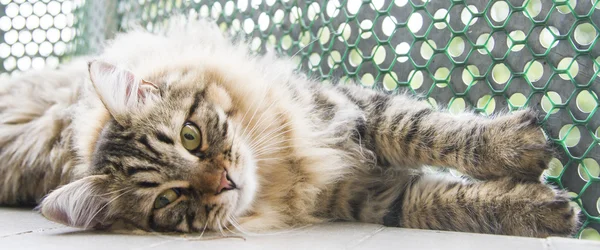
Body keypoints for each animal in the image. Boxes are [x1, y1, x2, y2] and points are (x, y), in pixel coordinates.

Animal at [1, 17, 580, 236]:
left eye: (190, 135)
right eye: (168, 198)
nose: (224, 181)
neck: (284, 173)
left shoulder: (345, 110)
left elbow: (429, 130)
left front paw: (515, 146)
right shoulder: (368, 199)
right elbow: (446, 202)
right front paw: (539, 210)